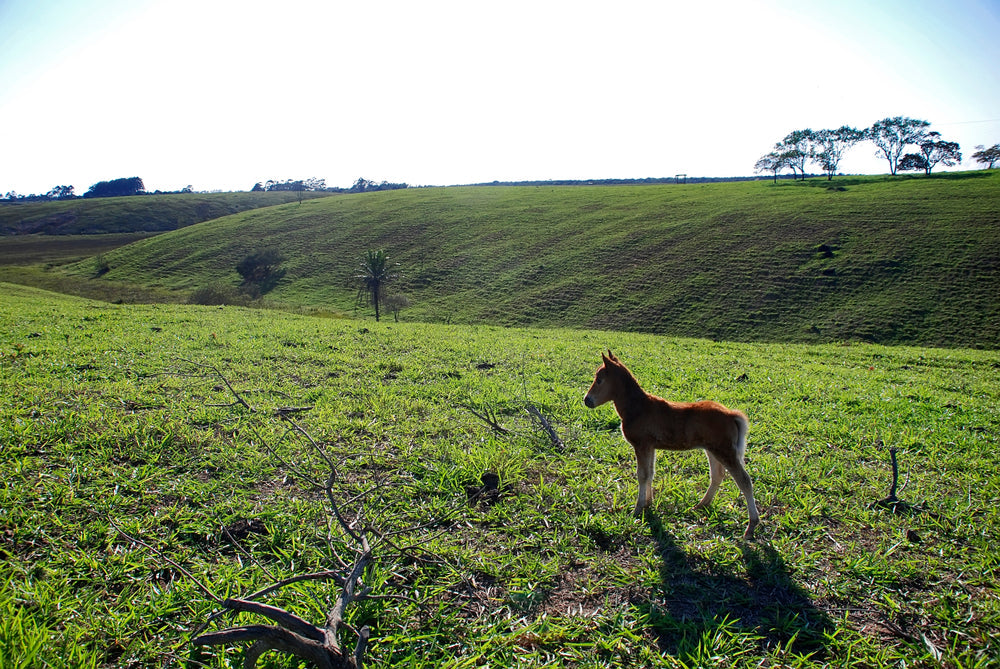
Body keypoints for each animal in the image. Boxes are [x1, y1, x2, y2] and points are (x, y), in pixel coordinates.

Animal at [584, 351, 760, 539]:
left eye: (599, 379)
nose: (587, 400)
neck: (639, 408)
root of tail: (731, 415)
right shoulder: (650, 446)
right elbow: (650, 474)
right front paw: (648, 504)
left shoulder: (641, 445)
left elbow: (642, 475)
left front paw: (637, 509)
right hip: (713, 450)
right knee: (717, 476)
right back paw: (700, 506)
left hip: (724, 451)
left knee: (744, 480)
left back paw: (751, 526)